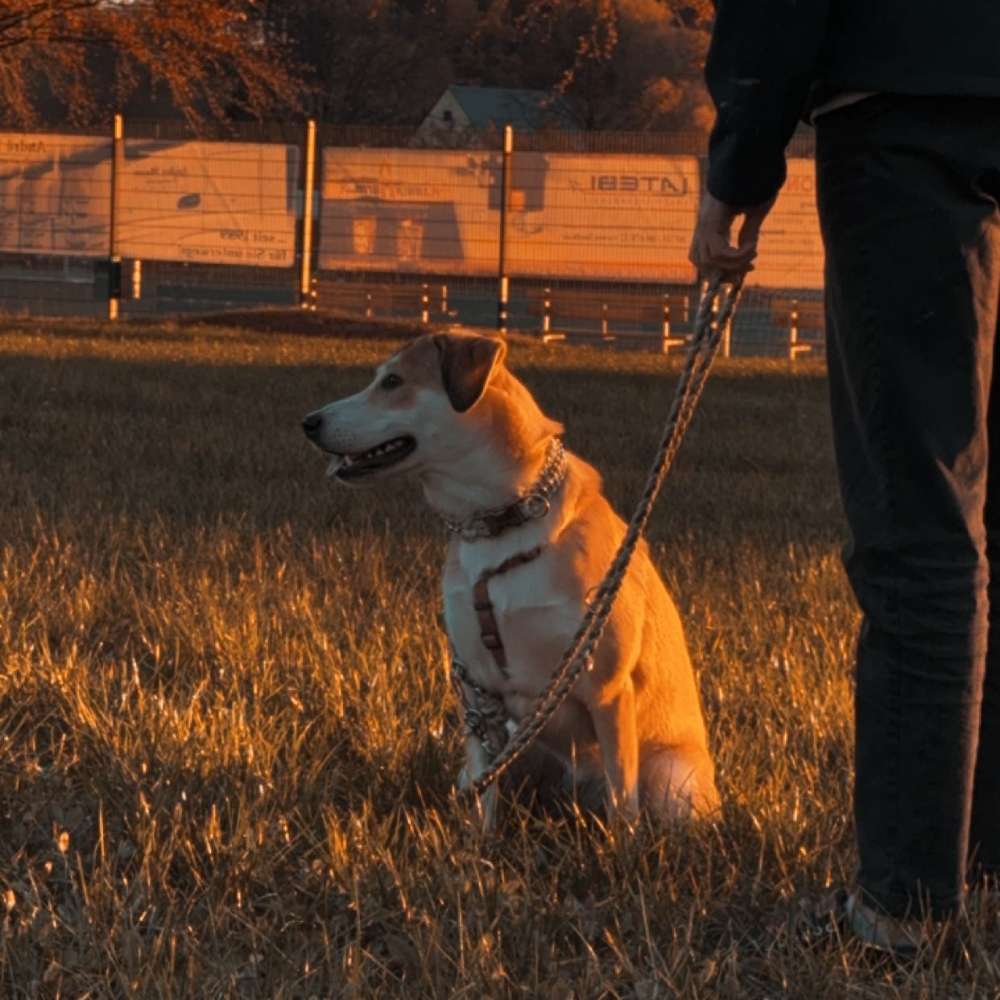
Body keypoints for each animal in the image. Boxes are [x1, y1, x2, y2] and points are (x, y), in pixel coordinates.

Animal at [304, 332, 720, 824]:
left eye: (392, 381)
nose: (309, 422)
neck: (499, 526)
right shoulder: (477, 690)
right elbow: (485, 791)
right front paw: (477, 841)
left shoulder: (606, 687)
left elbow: (624, 799)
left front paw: (622, 843)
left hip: (675, 778)